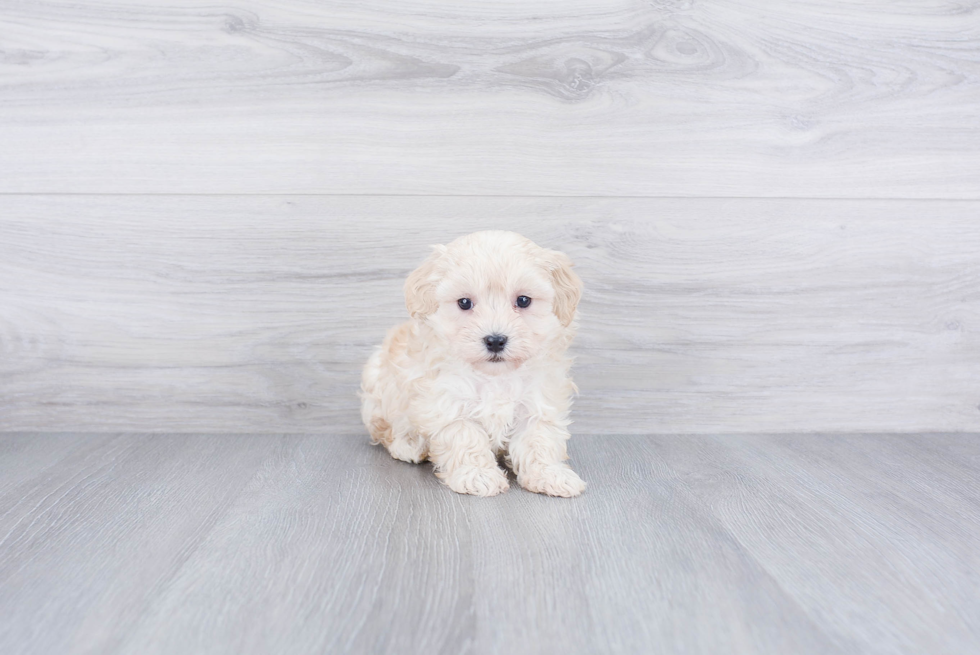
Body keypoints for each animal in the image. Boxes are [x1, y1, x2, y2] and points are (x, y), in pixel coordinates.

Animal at [362, 231, 584, 498]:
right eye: (465, 303)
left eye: (523, 300)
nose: (495, 340)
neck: (495, 376)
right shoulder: (448, 402)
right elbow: (465, 438)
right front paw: (478, 476)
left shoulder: (537, 402)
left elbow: (540, 439)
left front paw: (550, 474)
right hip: (379, 389)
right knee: (387, 429)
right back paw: (409, 445)